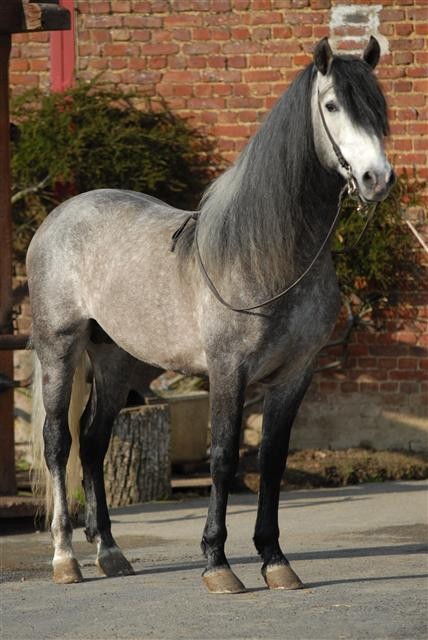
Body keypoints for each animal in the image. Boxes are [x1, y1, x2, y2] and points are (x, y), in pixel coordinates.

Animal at [28, 37, 394, 593]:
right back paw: (65, 558)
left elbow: (271, 461)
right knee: (57, 442)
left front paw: (275, 560)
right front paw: (218, 564)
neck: (263, 255)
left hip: (114, 357)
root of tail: (59, 216)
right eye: (332, 105)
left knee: (93, 443)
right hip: (59, 346)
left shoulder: (296, 374)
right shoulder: (228, 370)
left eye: (379, 105)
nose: (377, 178)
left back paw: (110, 552)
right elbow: (222, 457)